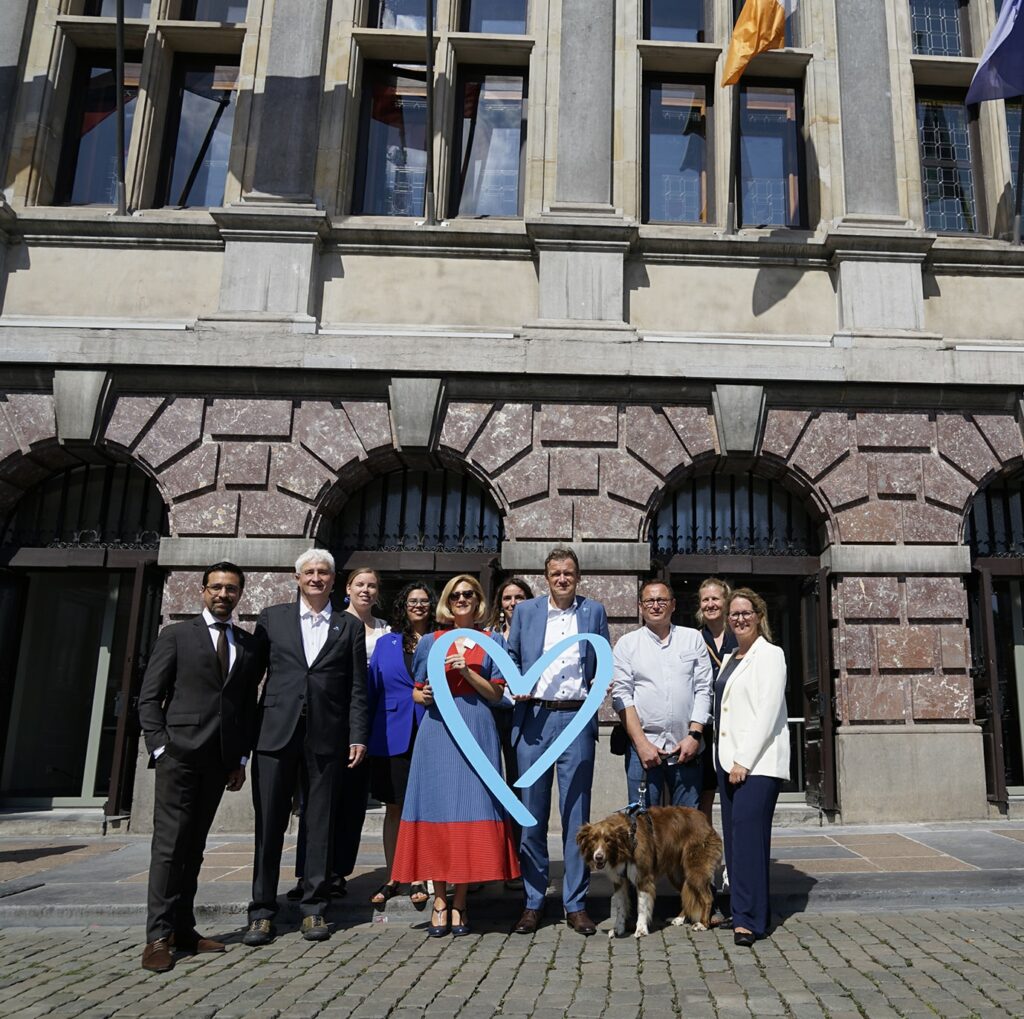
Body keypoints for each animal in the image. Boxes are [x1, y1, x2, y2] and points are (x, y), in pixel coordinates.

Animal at [577, 802, 720, 942]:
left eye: (608, 840)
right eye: (593, 839)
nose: (598, 857)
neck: (627, 842)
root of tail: (704, 819)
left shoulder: (643, 878)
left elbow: (641, 906)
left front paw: (640, 929)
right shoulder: (619, 881)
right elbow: (620, 906)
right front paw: (618, 929)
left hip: (695, 868)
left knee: (707, 897)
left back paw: (703, 924)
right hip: (677, 874)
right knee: (686, 892)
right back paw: (679, 919)